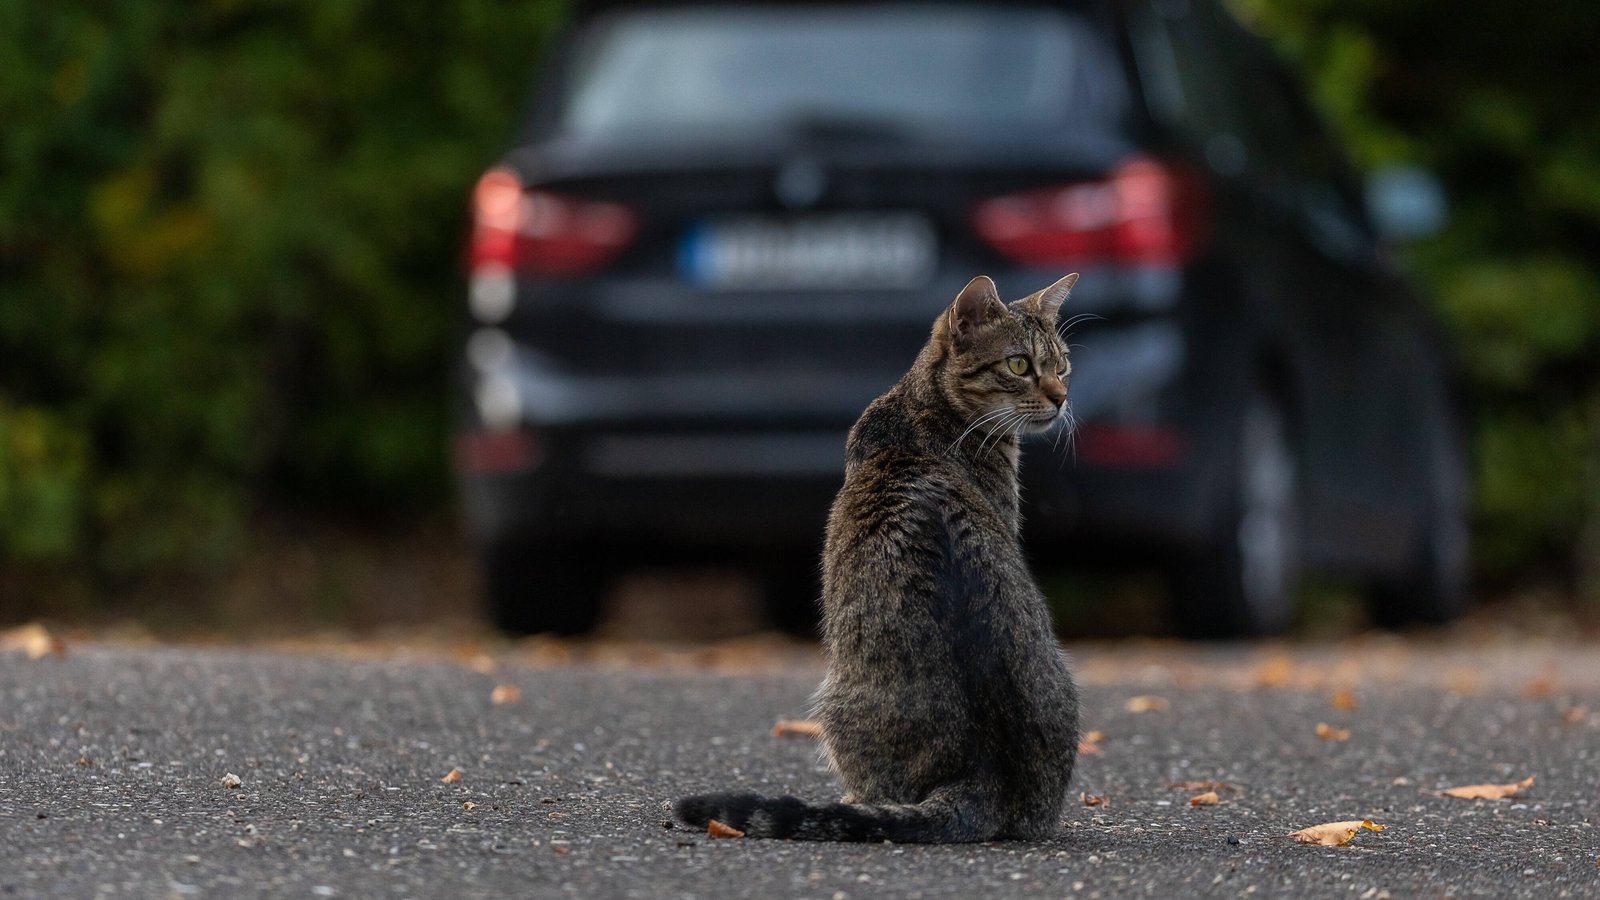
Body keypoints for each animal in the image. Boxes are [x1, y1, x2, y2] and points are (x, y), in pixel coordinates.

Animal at [668, 269, 1081, 839]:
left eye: (1061, 364)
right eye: (1020, 364)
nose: (1062, 397)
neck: (925, 408)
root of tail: (984, 779)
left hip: (833, 701)